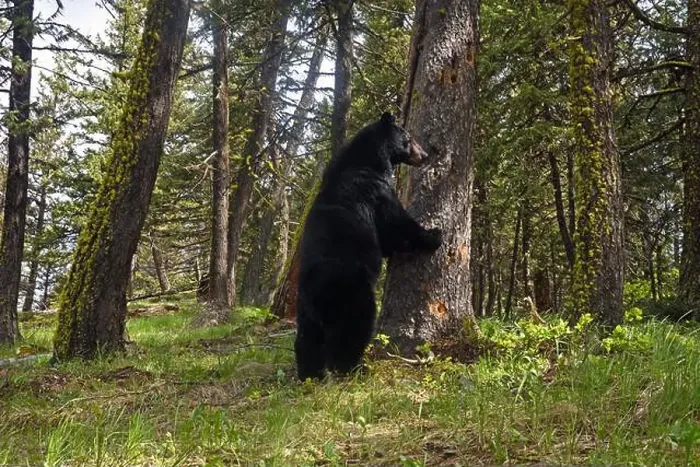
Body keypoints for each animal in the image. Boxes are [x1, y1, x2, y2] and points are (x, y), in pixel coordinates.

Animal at [294, 112, 443, 381]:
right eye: (408, 138)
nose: (425, 154)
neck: (369, 160)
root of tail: (314, 296)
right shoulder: (374, 191)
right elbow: (396, 221)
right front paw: (433, 235)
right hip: (354, 292)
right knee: (352, 331)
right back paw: (354, 368)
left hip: (305, 311)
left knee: (308, 340)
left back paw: (311, 375)